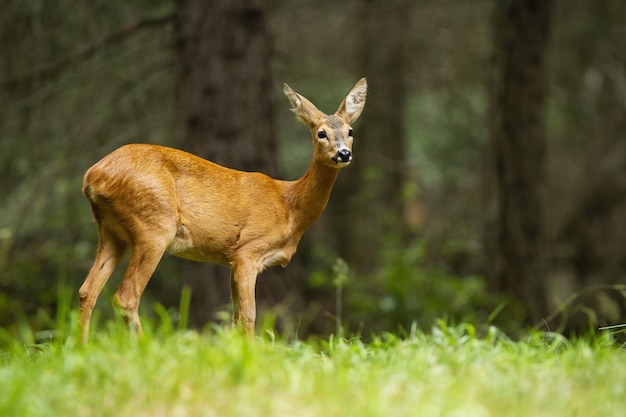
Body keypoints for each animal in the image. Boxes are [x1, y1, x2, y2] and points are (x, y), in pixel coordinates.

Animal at [77, 77, 366, 342]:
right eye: (321, 133)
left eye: (351, 131)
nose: (343, 154)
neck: (290, 207)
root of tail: (92, 175)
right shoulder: (248, 251)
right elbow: (249, 315)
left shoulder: (230, 258)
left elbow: (235, 317)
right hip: (155, 224)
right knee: (126, 296)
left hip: (112, 231)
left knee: (87, 291)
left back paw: (82, 347)